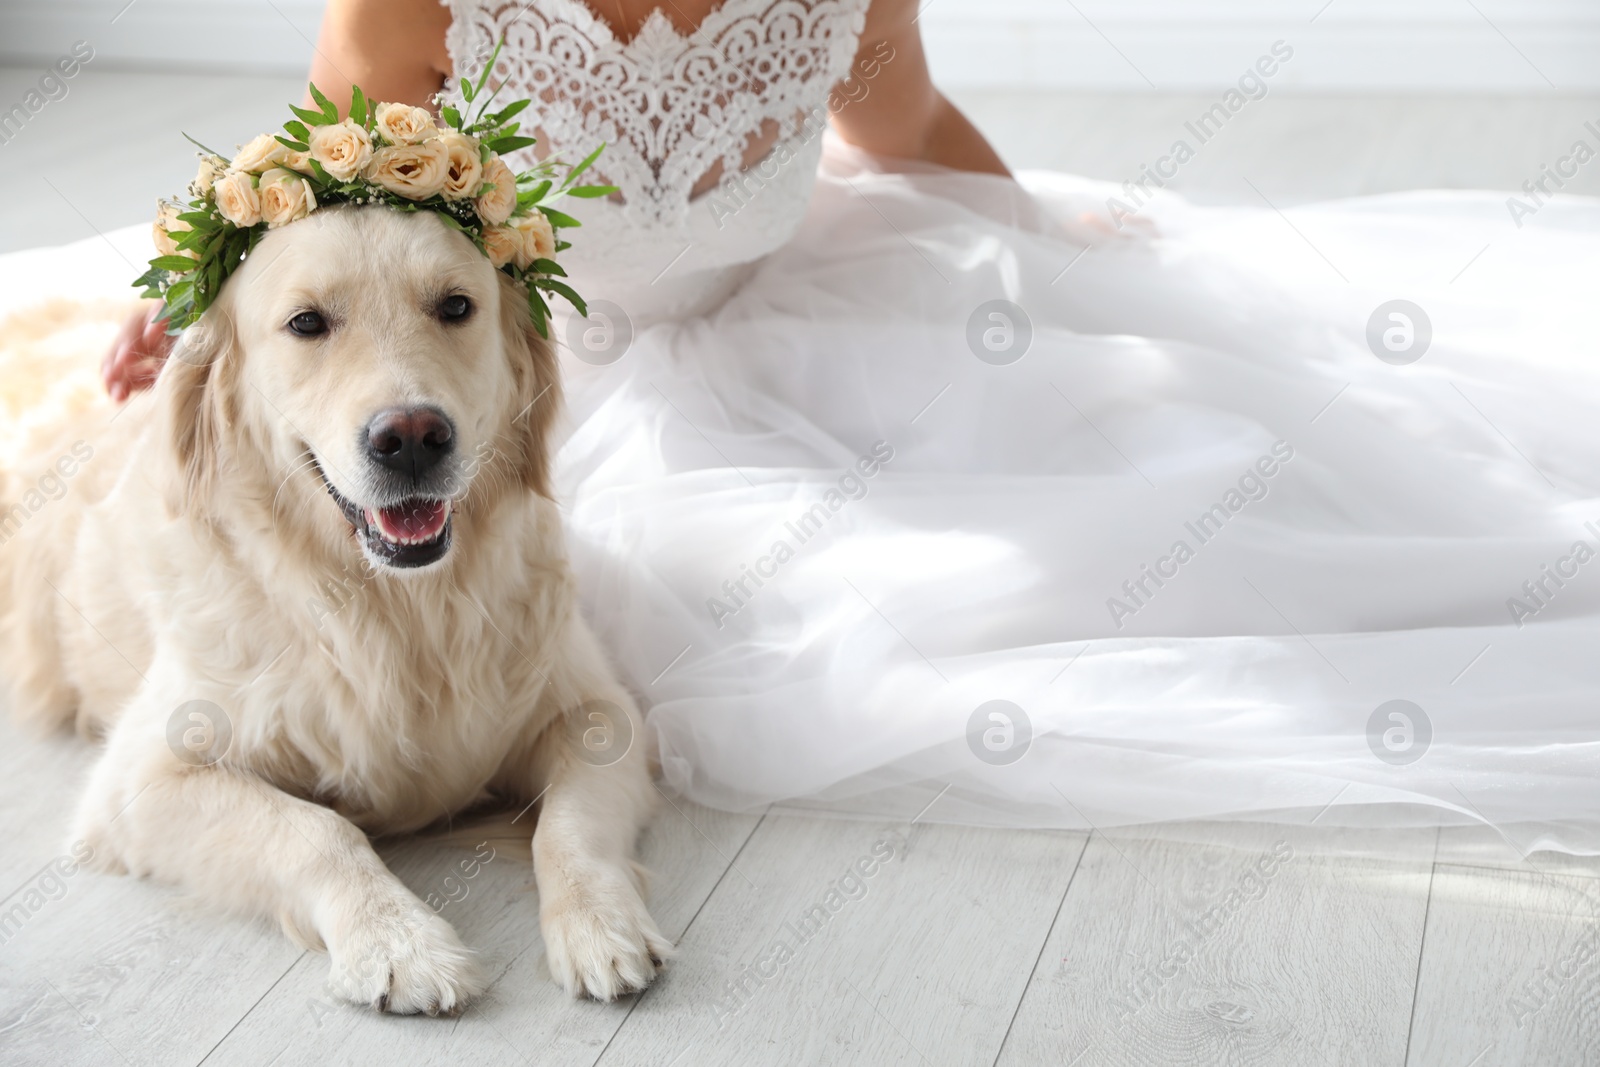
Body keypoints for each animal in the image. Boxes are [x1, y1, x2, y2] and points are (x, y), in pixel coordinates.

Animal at [0, 207, 668, 1017]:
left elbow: (570, 828)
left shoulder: (597, 713)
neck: (397, 609)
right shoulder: (140, 783)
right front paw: (397, 943)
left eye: (455, 306)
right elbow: (316, 831)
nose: (410, 437)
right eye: (307, 322)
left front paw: (601, 923)